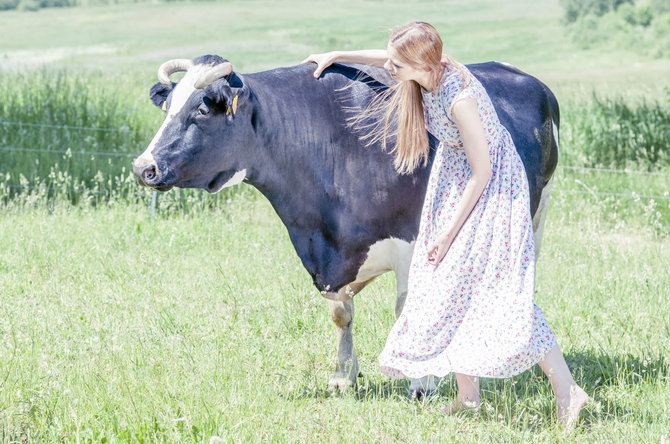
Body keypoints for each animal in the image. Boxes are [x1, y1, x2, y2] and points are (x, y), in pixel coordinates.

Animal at [134, 55, 560, 396]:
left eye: (202, 110)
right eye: (167, 107)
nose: (143, 167)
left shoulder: (413, 242)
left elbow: (408, 308)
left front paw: (421, 381)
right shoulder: (327, 256)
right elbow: (342, 315)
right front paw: (343, 377)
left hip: (537, 215)